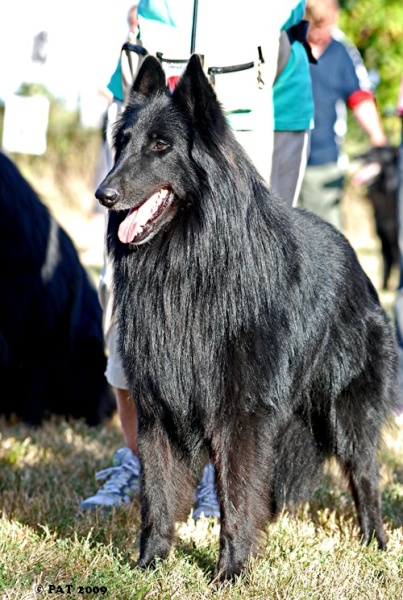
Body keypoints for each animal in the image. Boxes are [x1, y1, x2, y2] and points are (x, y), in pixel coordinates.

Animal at [96, 54, 400, 580]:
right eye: (123, 143)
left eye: (161, 146)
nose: (104, 194)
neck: (190, 266)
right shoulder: (158, 409)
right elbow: (157, 496)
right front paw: (150, 565)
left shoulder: (243, 414)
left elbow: (236, 496)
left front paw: (231, 571)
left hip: (348, 413)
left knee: (365, 476)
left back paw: (374, 542)